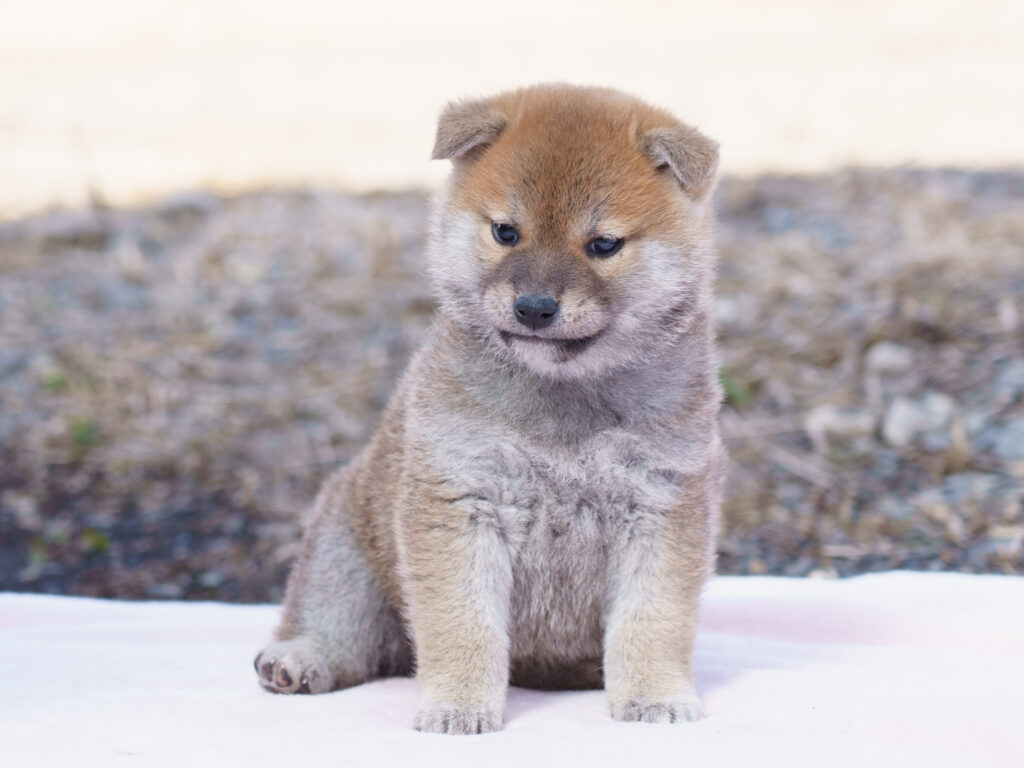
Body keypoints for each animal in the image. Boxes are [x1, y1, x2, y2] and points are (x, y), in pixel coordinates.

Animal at [254, 83, 724, 734]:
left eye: (603, 245)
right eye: (506, 232)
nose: (534, 307)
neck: (560, 397)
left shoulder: (659, 506)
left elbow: (650, 621)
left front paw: (656, 697)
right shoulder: (463, 502)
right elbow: (463, 624)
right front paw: (457, 707)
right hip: (343, 554)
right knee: (344, 632)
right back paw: (299, 660)